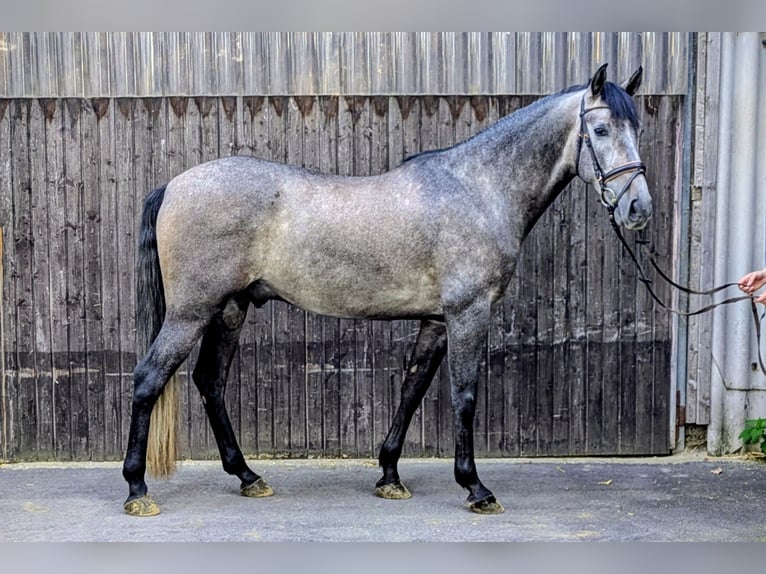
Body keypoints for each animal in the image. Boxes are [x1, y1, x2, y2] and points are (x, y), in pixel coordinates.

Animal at [122, 63, 651, 516]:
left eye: (637, 129)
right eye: (601, 131)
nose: (638, 209)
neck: (477, 189)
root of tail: (174, 185)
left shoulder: (436, 320)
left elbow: (412, 389)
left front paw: (390, 475)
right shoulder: (468, 313)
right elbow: (464, 395)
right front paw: (475, 487)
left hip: (229, 310)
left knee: (210, 381)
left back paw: (248, 476)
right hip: (191, 312)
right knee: (148, 379)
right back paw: (137, 488)